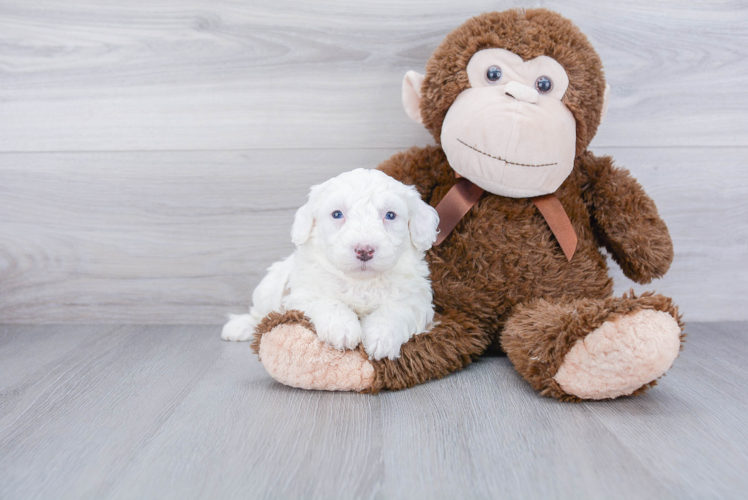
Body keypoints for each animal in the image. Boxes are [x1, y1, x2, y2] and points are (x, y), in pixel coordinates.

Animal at [225, 168, 442, 360]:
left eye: (390, 215)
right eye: (337, 214)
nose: (364, 250)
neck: (361, 282)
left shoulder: (415, 300)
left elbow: (396, 309)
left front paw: (382, 337)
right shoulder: (304, 293)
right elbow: (327, 301)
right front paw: (342, 328)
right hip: (268, 288)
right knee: (259, 314)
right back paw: (240, 327)